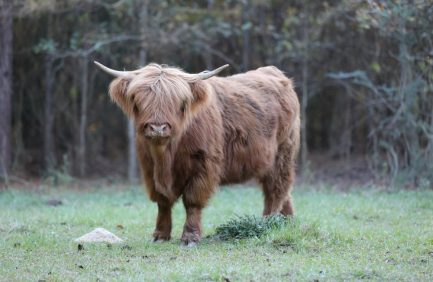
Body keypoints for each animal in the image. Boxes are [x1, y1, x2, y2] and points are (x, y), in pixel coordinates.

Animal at [93, 61, 298, 245]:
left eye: (178, 101)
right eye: (138, 100)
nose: (158, 128)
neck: (166, 155)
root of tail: (273, 72)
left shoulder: (204, 165)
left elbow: (192, 201)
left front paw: (190, 237)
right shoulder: (149, 168)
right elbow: (162, 202)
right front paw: (160, 235)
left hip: (282, 154)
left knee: (276, 189)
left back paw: (268, 223)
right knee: (283, 192)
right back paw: (287, 222)